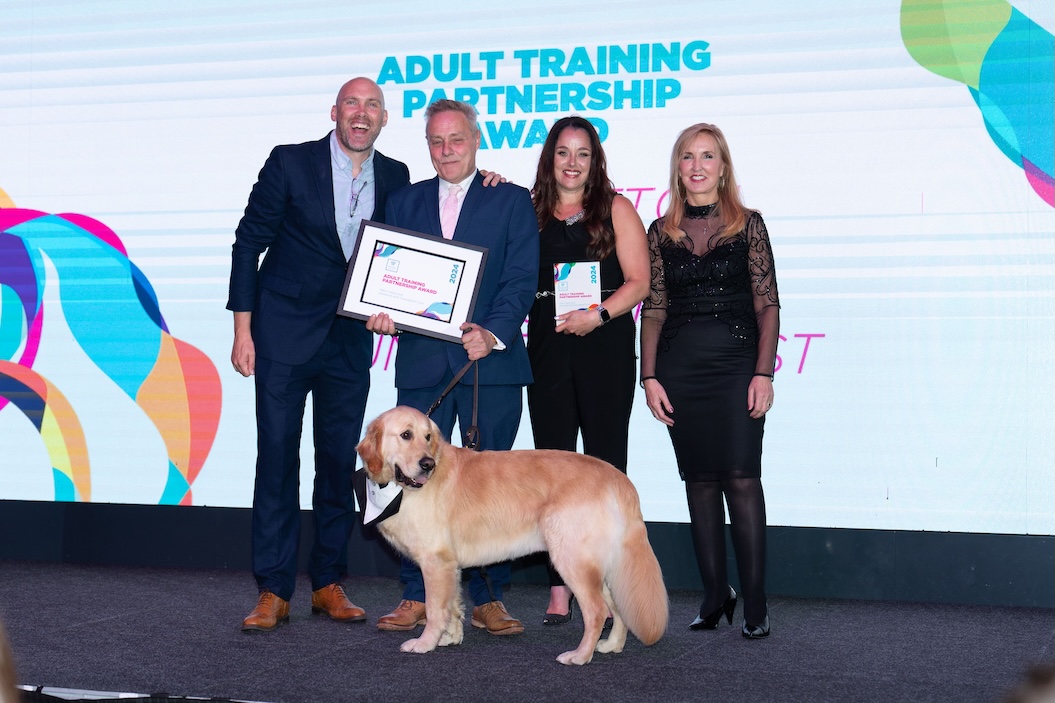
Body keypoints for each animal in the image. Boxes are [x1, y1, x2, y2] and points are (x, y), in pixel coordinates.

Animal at [354, 405, 666, 662]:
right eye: (406, 435)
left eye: (427, 436)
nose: (427, 464)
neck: (402, 490)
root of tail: (617, 476)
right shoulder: (449, 565)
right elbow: (452, 606)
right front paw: (450, 638)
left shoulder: (435, 561)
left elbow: (434, 609)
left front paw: (425, 643)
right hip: (603, 566)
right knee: (617, 609)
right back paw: (611, 645)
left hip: (571, 559)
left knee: (598, 612)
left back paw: (579, 655)